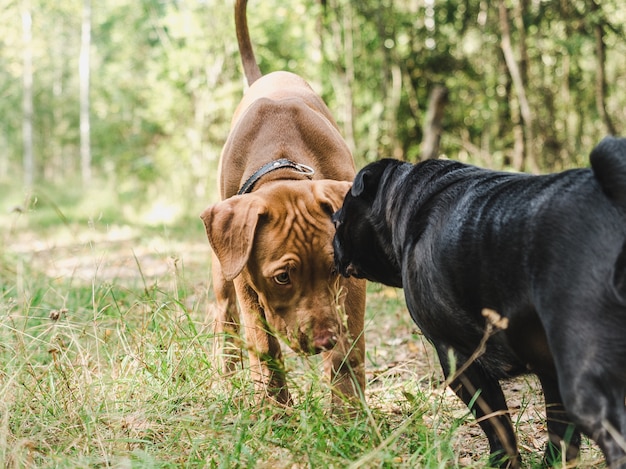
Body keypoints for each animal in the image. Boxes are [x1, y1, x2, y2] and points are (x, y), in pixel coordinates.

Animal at [199, 0, 366, 406]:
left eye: (333, 268)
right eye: (283, 277)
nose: (323, 340)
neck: (282, 163)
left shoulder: (352, 276)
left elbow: (350, 346)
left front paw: (348, 410)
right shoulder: (245, 279)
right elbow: (262, 344)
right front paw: (274, 409)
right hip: (221, 274)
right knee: (225, 320)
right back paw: (226, 377)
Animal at [334, 137, 624, 466]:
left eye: (338, 220)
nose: (332, 237)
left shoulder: (460, 361)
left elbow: (498, 428)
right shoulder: (550, 376)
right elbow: (560, 438)